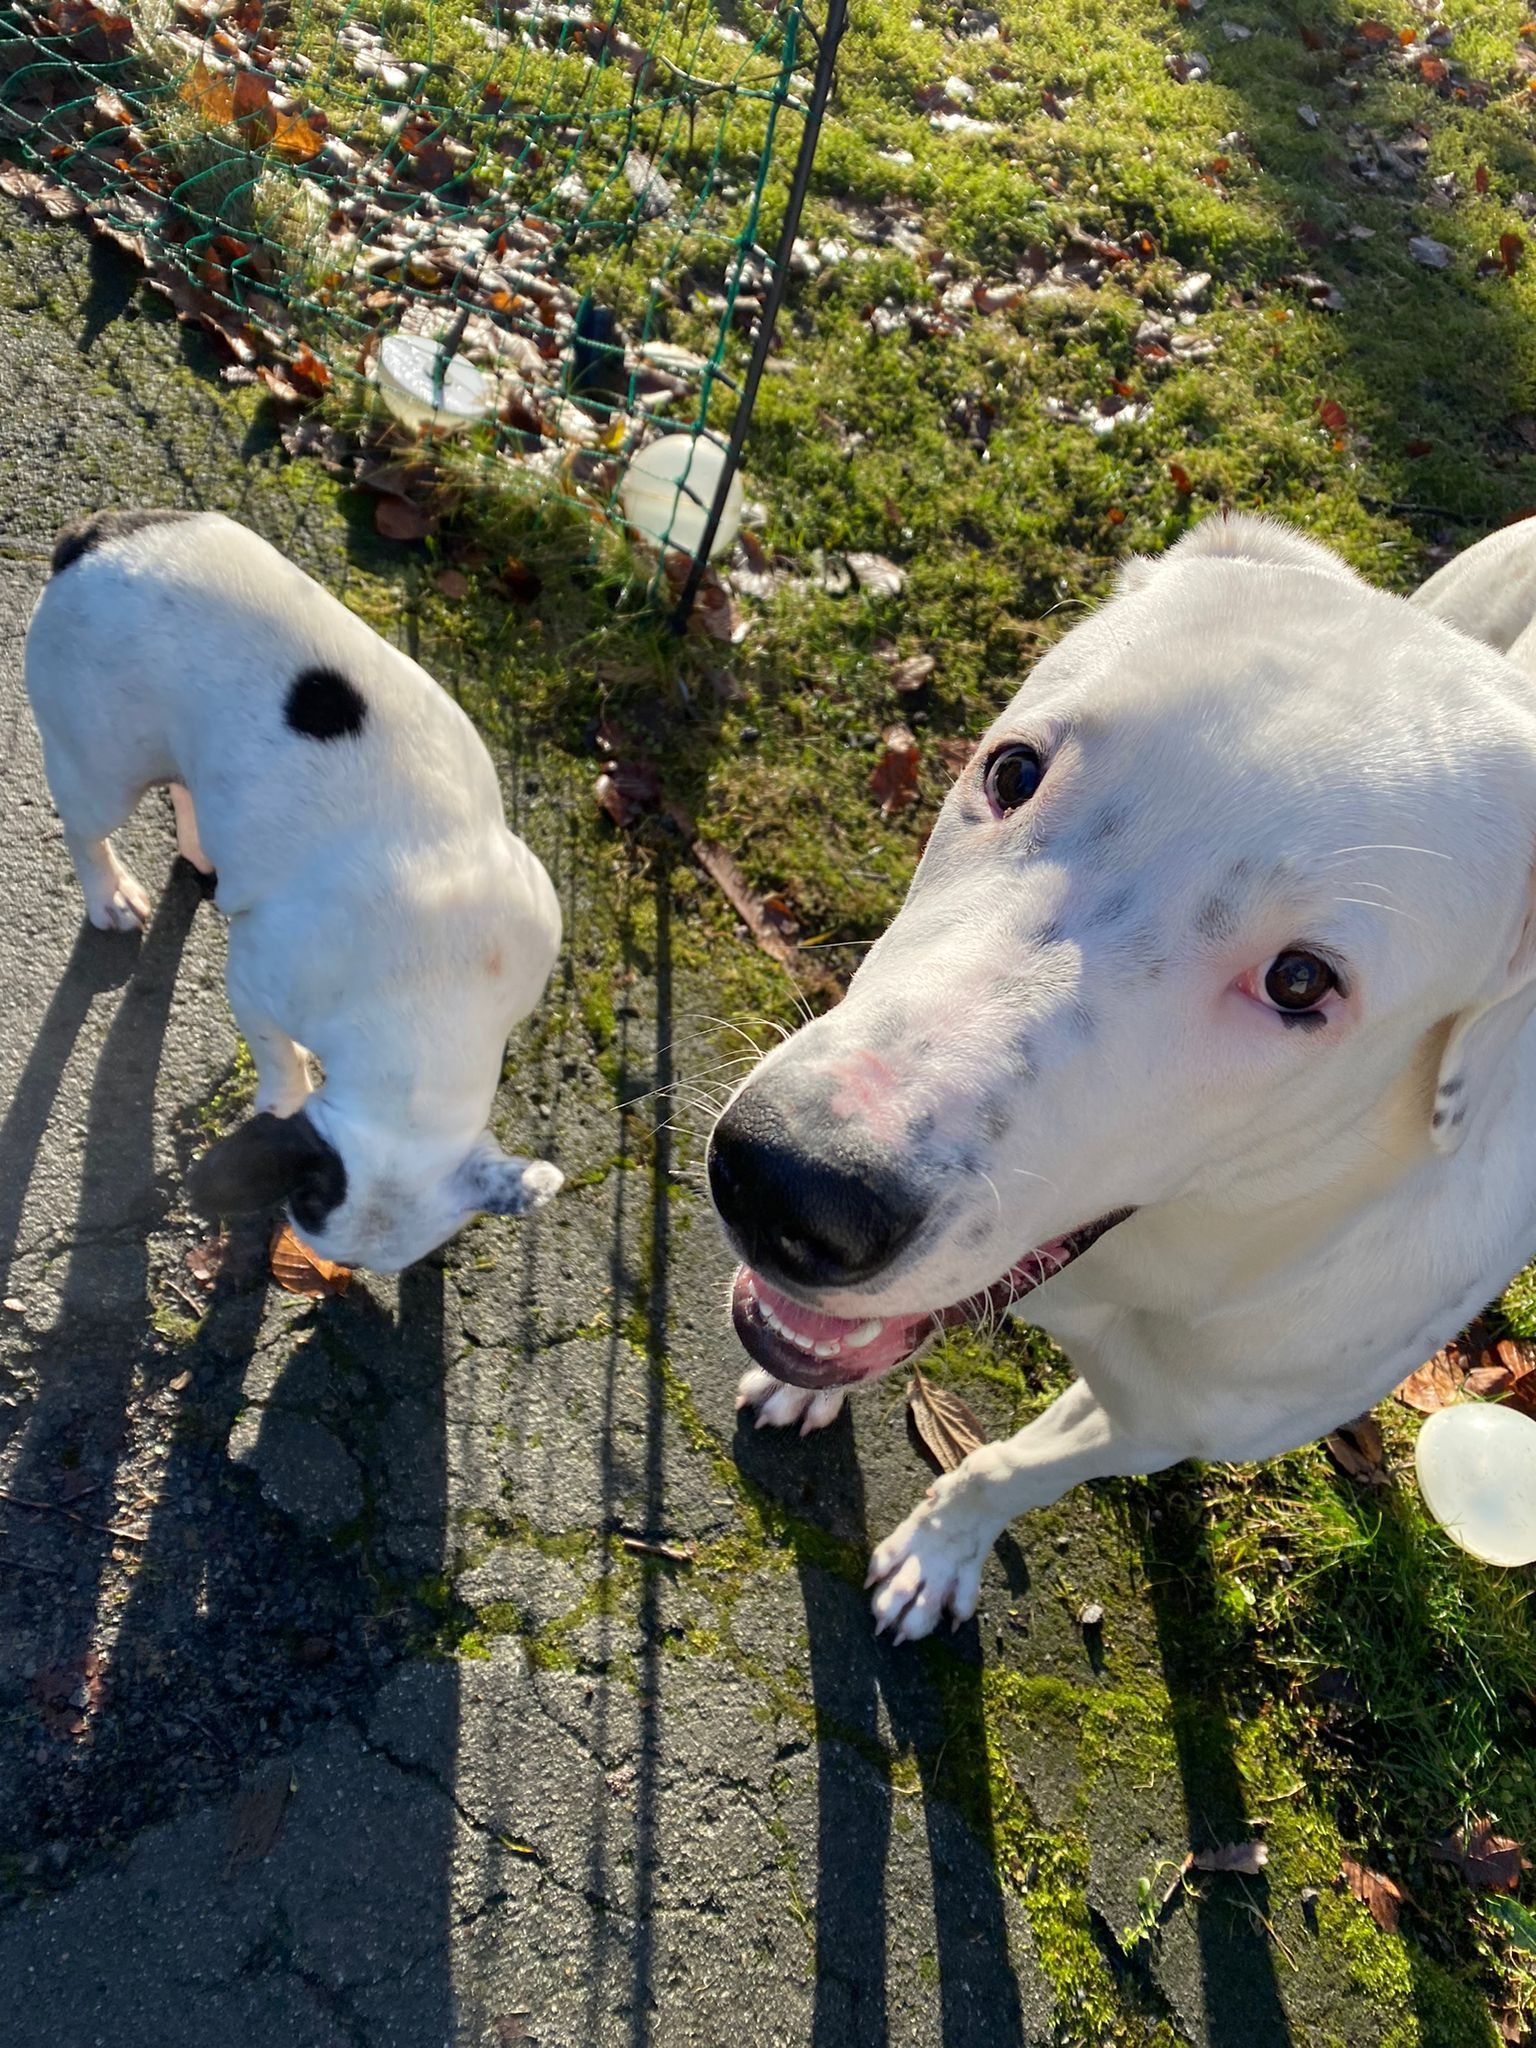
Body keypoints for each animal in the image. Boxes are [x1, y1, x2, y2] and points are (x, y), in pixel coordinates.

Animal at [24, 508, 563, 1273]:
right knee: (85, 827)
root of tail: (94, 538)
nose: (328, 1268)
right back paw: (111, 895)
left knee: (193, 787)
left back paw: (203, 848)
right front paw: (284, 1095)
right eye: (303, 1208)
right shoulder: (257, 983)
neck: (429, 1015)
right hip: (101, 765)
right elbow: (278, 1055)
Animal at [708, 511, 1536, 1641]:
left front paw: (940, 1548)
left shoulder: (1166, 1420)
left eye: (1299, 981)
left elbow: (1010, 1469)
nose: (791, 1184)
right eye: (1012, 771)